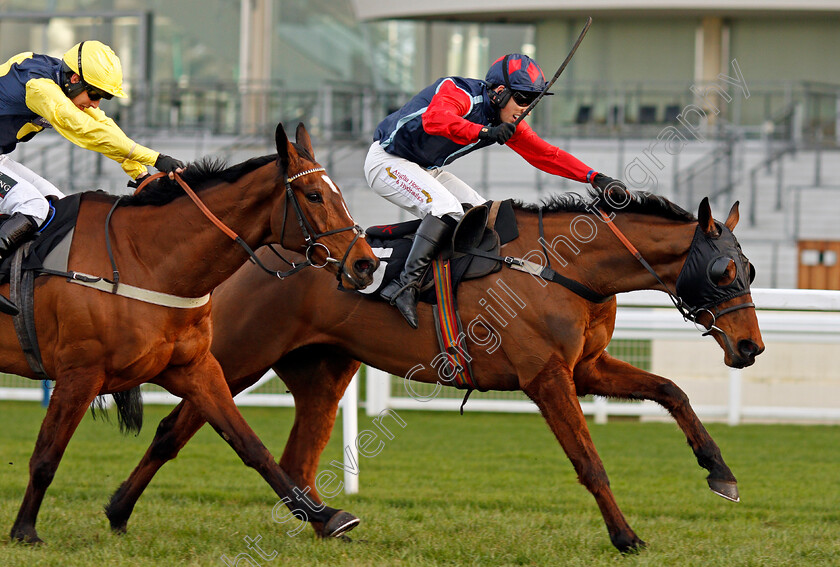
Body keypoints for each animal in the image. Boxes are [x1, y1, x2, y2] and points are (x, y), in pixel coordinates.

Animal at [2, 122, 378, 544]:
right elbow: (47, 455)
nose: (366, 263)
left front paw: (325, 515)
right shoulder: (80, 372)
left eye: (339, 193)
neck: (143, 260)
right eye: (313, 195)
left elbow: (250, 444)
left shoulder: (196, 367)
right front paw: (24, 529)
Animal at [103, 190, 760, 552]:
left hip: (323, 370)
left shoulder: (587, 367)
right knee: (174, 430)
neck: (568, 268)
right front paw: (625, 536)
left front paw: (721, 473)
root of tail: (255, 252)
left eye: (750, 270)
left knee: (297, 459)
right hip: (240, 355)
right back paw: (117, 511)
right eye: (724, 272)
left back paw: (325, 524)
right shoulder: (546, 377)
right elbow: (589, 461)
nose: (750, 347)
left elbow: (672, 391)